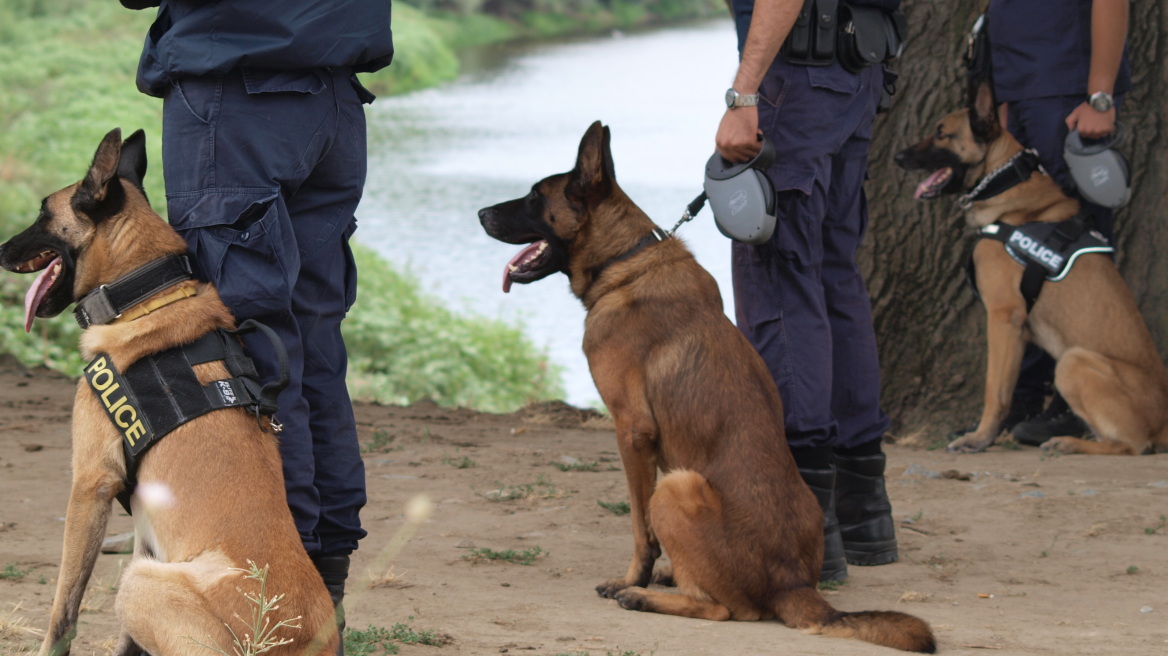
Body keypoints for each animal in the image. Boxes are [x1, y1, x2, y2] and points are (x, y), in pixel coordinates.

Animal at [0, 127, 338, 653]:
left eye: (42, 213)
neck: (144, 294)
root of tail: (294, 637)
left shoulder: (90, 484)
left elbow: (63, 608)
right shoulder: (145, 519)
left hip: (139, 581)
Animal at [478, 121, 934, 648]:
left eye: (535, 196)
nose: (481, 213)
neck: (624, 261)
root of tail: (792, 583)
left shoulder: (632, 432)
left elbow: (639, 527)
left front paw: (632, 578)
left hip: (677, 486)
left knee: (728, 610)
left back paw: (645, 596)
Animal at [892, 82, 1168, 455]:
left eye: (941, 133)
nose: (898, 158)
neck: (1005, 183)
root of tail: (1165, 421)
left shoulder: (1003, 315)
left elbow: (994, 389)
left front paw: (979, 438)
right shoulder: (1018, 329)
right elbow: (1009, 386)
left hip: (1073, 361)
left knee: (1132, 445)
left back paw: (1067, 442)